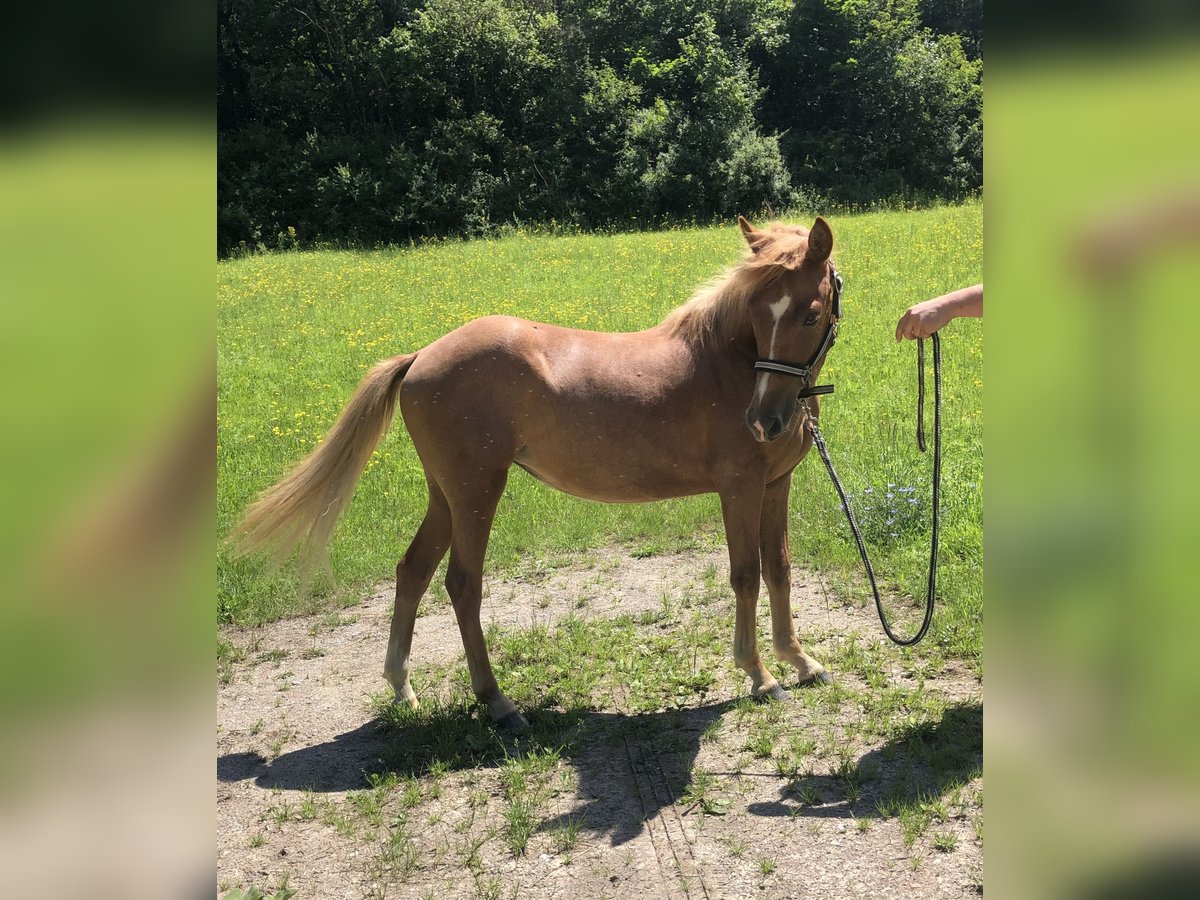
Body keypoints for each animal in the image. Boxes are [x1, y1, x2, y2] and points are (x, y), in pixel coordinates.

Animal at [231, 218, 835, 734]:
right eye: (756, 311)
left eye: (808, 315)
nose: (764, 421)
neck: (727, 364)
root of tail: (422, 355)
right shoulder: (739, 489)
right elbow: (747, 575)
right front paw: (760, 675)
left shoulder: (775, 486)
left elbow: (780, 568)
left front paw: (800, 661)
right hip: (477, 492)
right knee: (462, 585)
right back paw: (498, 702)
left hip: (446, 497)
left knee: (413, 572)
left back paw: (403, 687)